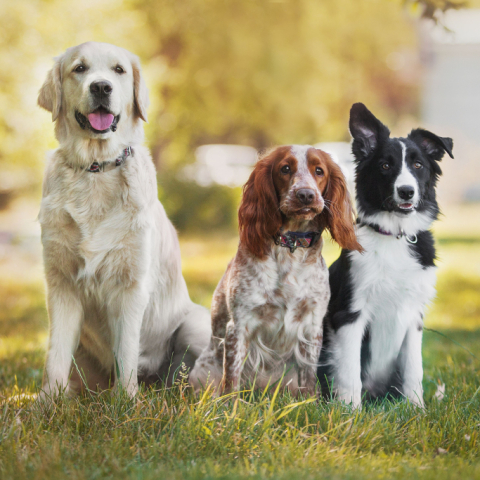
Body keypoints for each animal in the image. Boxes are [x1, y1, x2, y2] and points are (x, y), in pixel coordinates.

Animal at [37, 42, 210, 398]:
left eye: (118, 70)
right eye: (79, 68)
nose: (101, 87)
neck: (95, 170)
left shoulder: (130, 284)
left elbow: (126, 349)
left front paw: (126, 401)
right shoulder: (61, 284)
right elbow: (55, 354)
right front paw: (46, 403)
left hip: (196, 323)